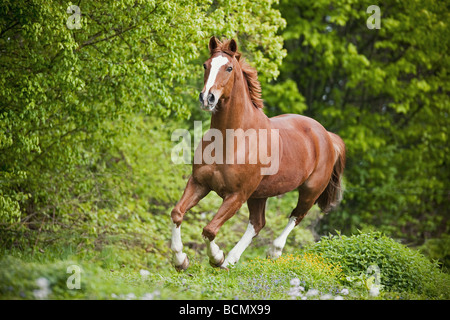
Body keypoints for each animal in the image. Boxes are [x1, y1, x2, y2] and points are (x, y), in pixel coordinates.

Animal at [169, 37, 344, 270]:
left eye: (229, 68)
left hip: (310, 191)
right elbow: (177, 213)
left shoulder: (237, 195)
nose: (207, 98)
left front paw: (216, 257)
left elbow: (210, 229)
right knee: (258, 223)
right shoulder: (199, 182)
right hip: (260, 194)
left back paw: (272, 251)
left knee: (296, 216)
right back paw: (231, 260)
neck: (231, 140)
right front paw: (181, 260)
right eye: (206, 65)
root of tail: (327, 136)